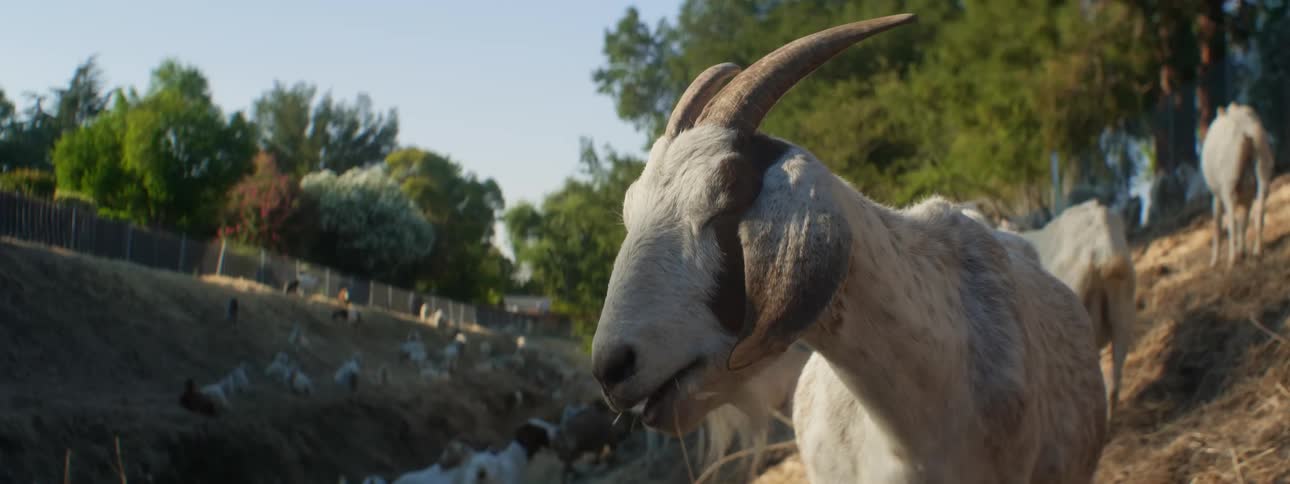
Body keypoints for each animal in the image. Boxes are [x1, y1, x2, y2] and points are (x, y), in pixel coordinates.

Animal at [1202, 102, 1276, 268]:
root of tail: (1246, 131)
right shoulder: (1248, 197)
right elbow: (1244, 222)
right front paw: (1243, 251)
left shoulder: (1217, 196)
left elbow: (1218, 225)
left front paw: (1214, 261)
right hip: (1262, 168)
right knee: (1259, 212)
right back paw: (1256, 252)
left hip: (1228, 185)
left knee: (1231, 222)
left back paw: (1232, 259)